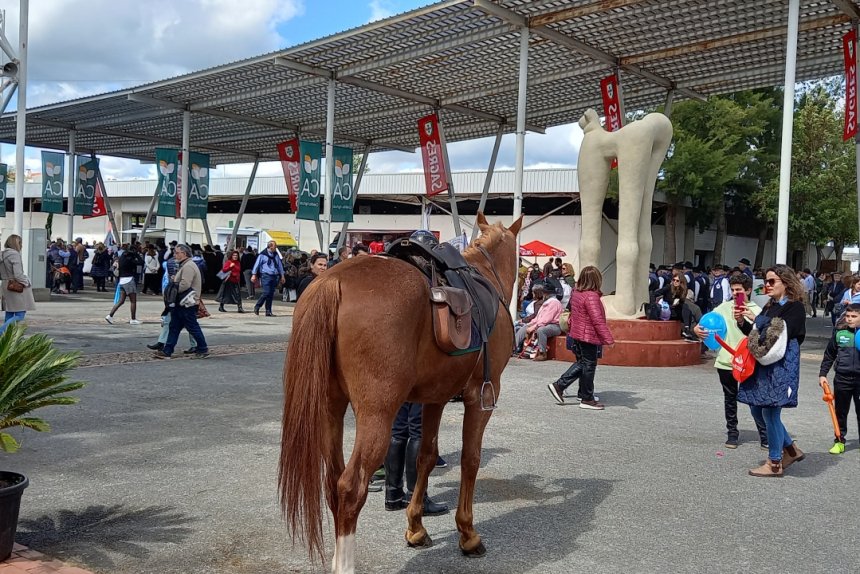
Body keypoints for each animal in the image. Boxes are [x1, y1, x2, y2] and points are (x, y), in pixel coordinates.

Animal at [278, 214, 520, 572]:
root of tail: (331, 281)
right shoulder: (481, 397)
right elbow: (470, 459)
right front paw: (468, 534)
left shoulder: (434, 398)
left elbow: (425, 457)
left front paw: (416, 527)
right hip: (377, 414)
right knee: (350, 487)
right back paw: (344, 563)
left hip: (330, 409)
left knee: (333, 483)